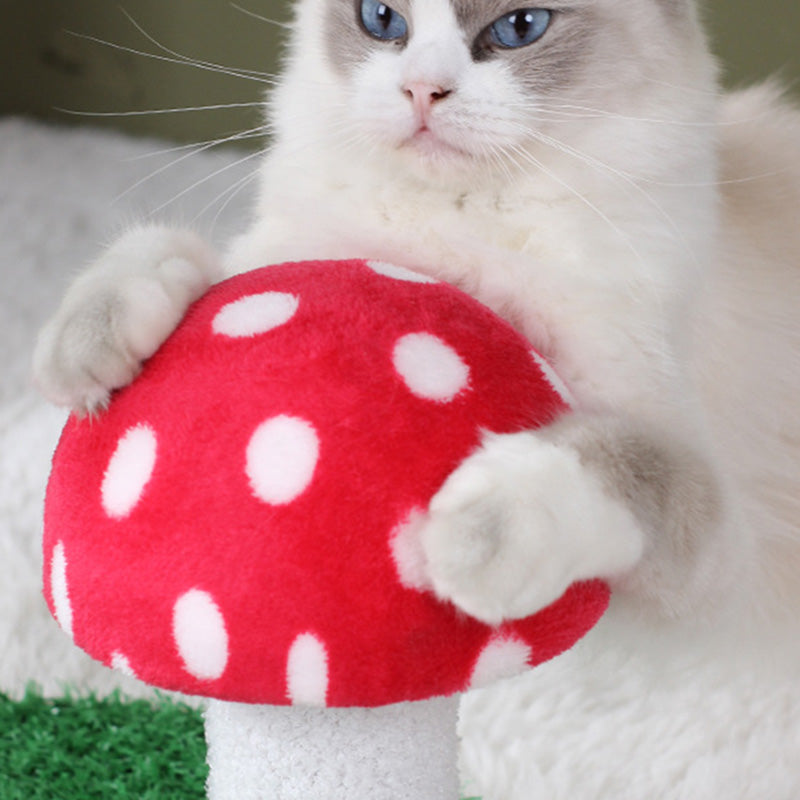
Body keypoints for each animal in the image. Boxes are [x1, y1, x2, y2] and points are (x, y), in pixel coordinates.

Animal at [34, 1, 800, 632]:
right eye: (381, 18)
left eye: (520, 27)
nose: (422, 91)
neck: (448, 234)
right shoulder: (290, 249)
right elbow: (171, 254)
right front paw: (89, 357)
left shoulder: (710, 517)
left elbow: (613, 457)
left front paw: (465, 542)